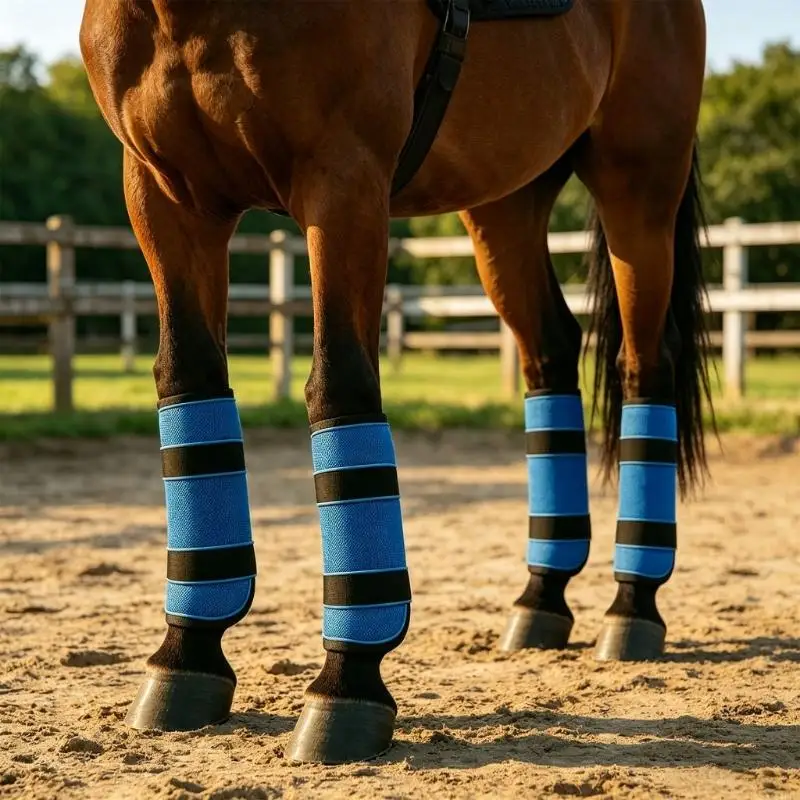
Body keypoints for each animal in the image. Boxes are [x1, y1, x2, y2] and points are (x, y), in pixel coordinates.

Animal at [79, 0, 712, 765]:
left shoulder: (343, 182)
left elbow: (340, 387)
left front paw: (346, 684)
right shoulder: (165, 193)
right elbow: (188, 381)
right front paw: (186, 656)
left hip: (638, 188)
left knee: (645, 367)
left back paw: (632, 606)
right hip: (505, 202)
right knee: (550, 355)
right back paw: (541, 597)